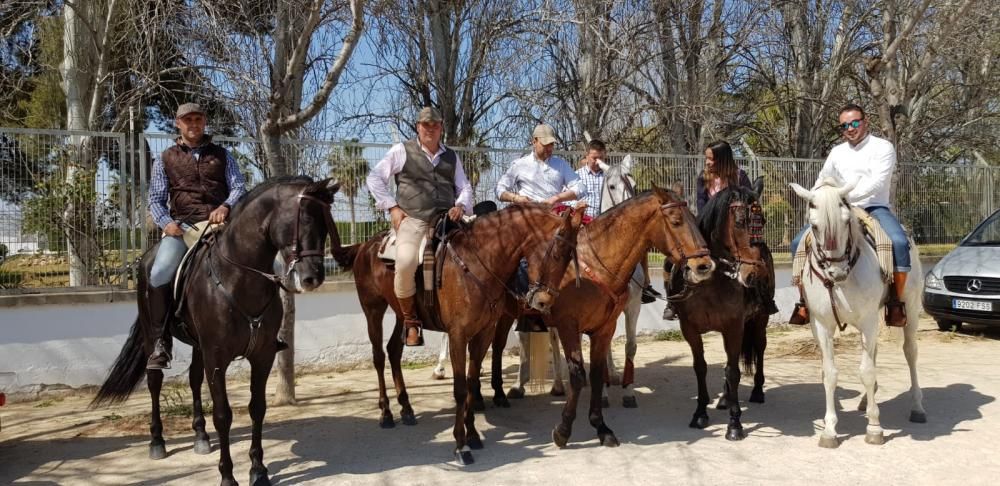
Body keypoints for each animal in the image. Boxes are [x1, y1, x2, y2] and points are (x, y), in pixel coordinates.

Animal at [332, 203, 584, 466]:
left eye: (570, 257)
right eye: (556, 254)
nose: (544, 301)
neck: (478, 264)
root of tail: (364, 246)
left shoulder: (483, 333)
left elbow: (472, 383)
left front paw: (472, 434)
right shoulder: (458, 335)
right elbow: (461, 388)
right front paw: (461, 444)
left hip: (403, 315)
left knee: (393, 351)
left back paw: (407, 408)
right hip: (373, 309)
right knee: (379, 357)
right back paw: (386, 413)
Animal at [486, 186, 716, 448]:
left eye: (693, 220)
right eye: (676, 221)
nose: (705, 266)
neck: (592, 269)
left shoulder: (605, 326)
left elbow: (597, 373)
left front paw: (601, 427)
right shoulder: (569, 325)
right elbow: (578, 375)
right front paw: (563, 430)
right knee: (503, 345)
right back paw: (507, 390)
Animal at [672, 181, 772, 440]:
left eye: (762, 220)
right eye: (739, 222)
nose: (756, 274)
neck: (710, 281)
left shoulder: (734, 327)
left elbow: (733, 371)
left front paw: (735, 424)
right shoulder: (689, 329)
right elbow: (701, 368)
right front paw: (700, 413)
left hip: (760, 321)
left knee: (759, 348)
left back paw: (757, 391)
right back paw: (726, 398)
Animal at [792, 178, 924, 448]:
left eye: (845, 221)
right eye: (814, 225)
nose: (837, 272)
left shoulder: (869, 321)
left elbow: (866, 371)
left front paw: (874, 427)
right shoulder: (821, 325)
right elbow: (830, 374)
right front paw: (830, 430)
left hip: (911, 310)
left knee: (910, 353)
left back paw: (917, 407)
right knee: (874, 354)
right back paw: (865, 400)